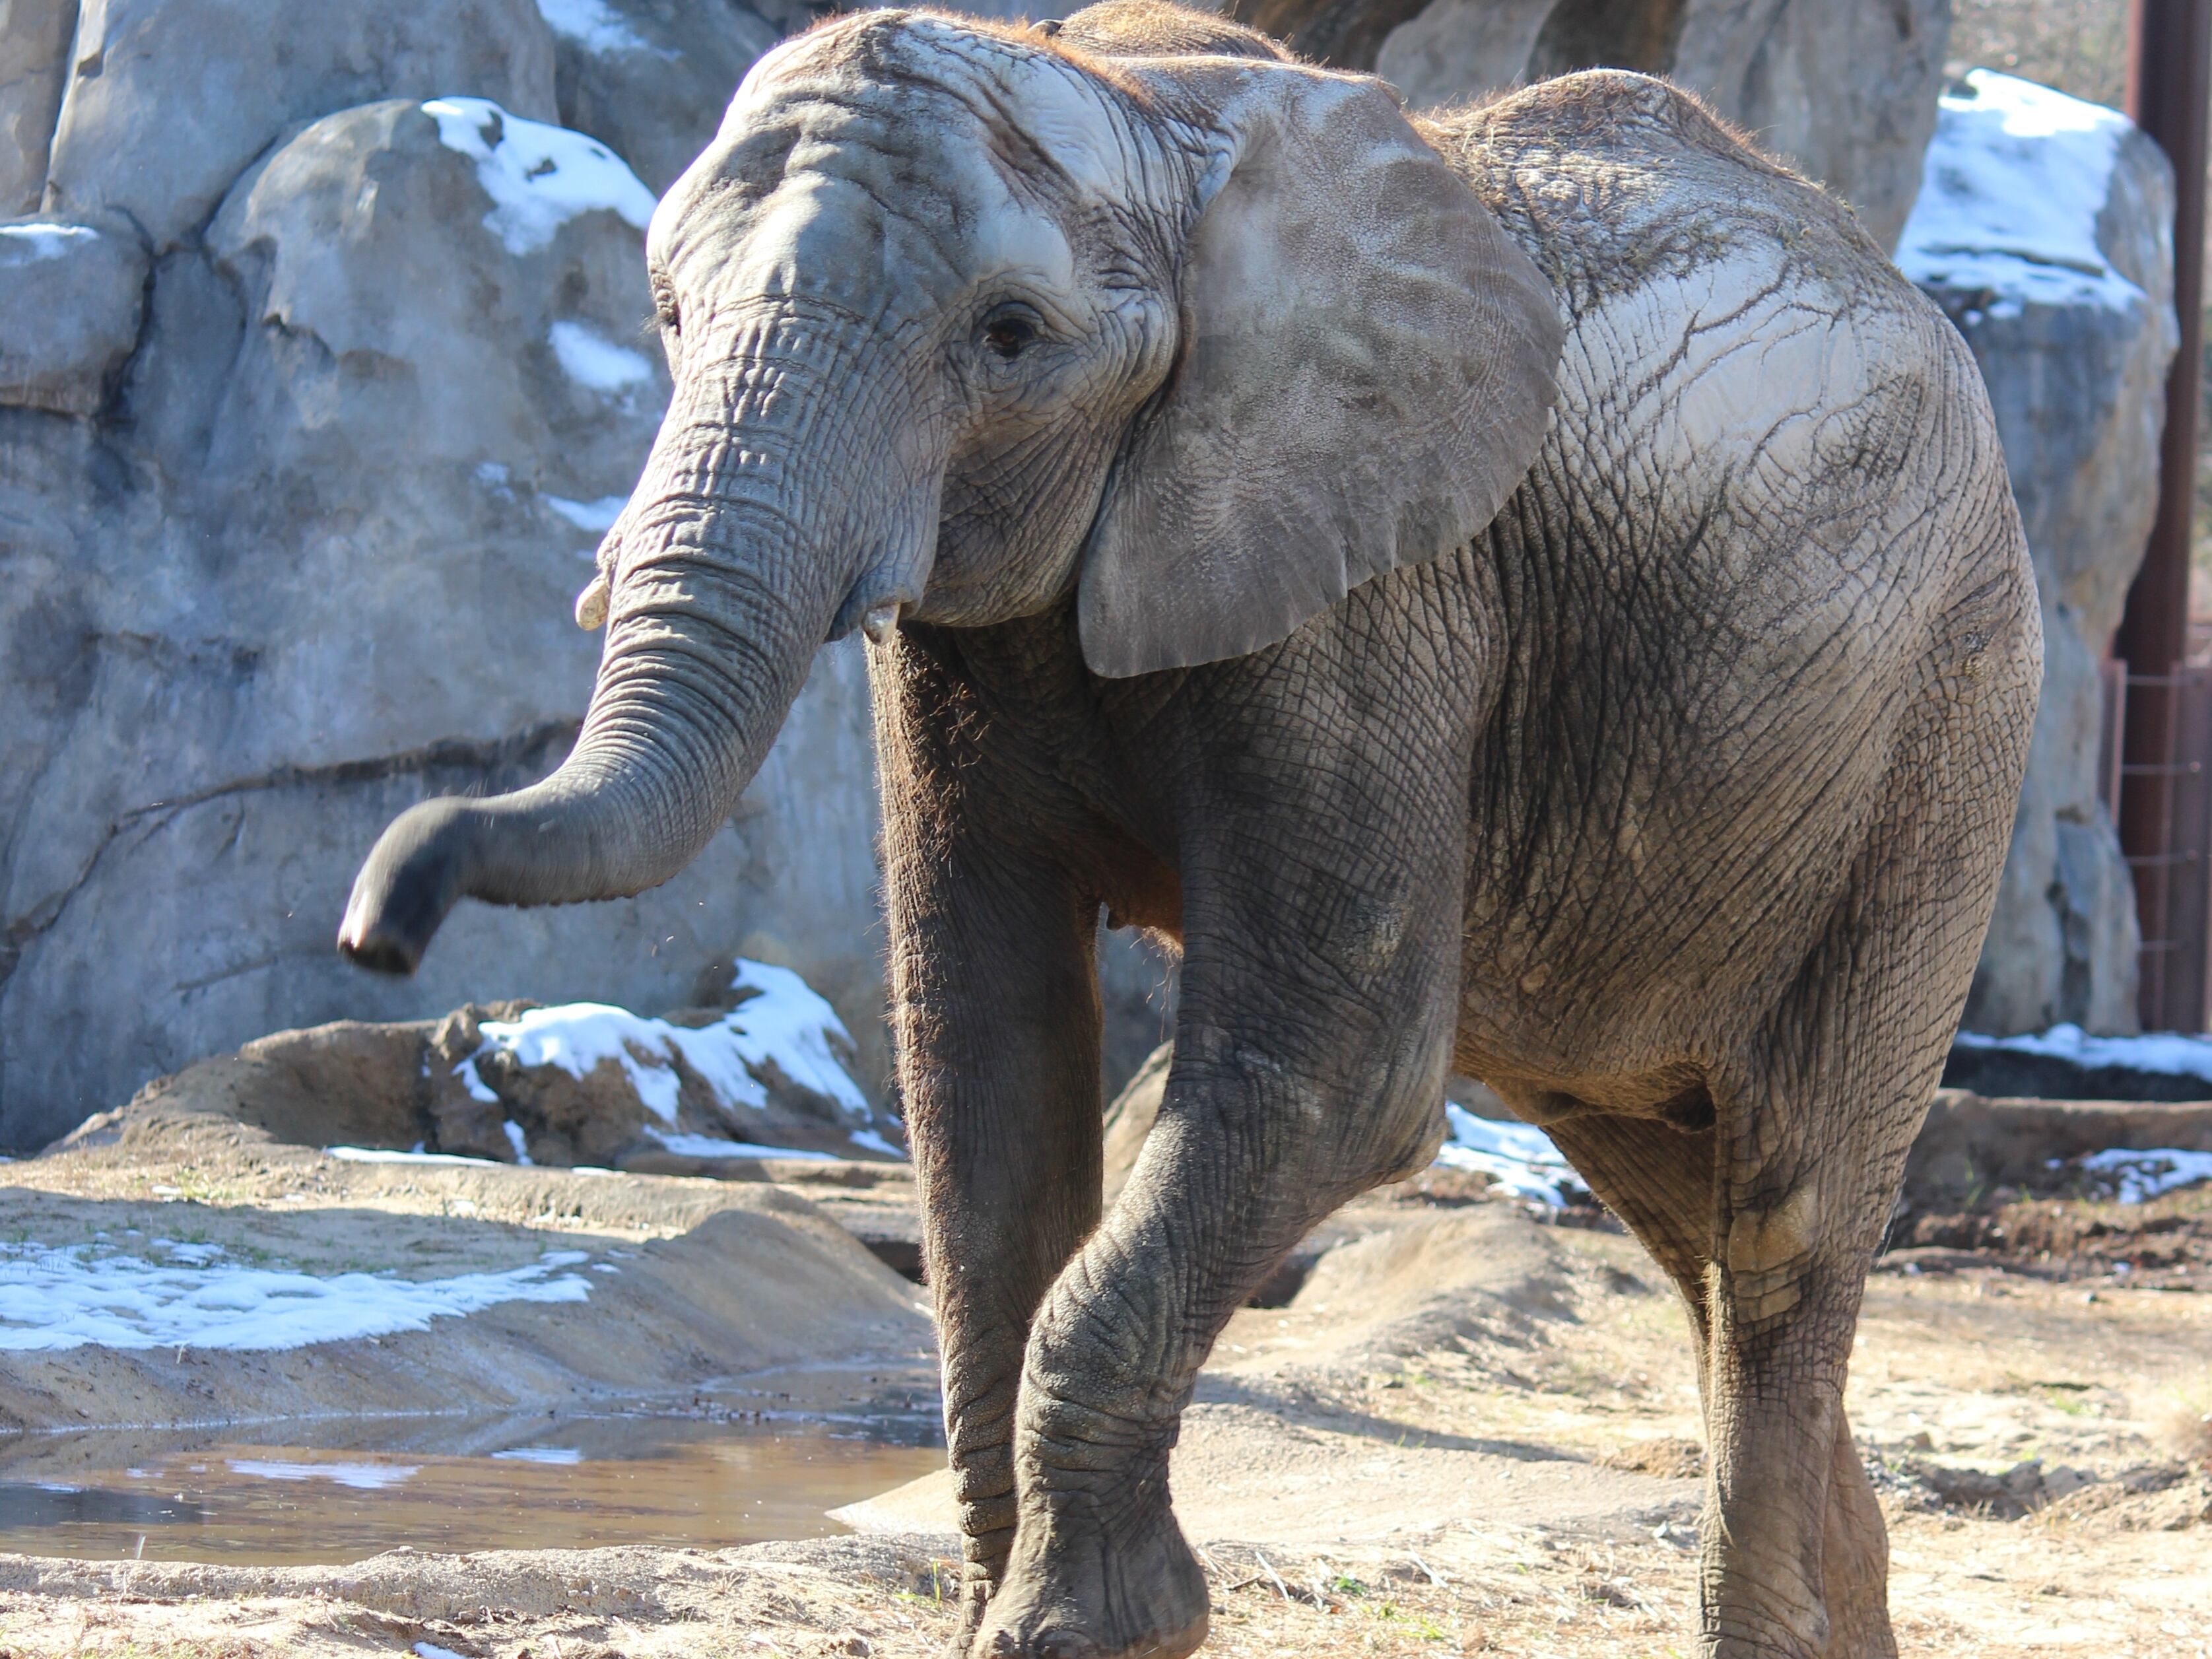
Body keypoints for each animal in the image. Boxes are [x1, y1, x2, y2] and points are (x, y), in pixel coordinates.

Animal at [338, 3, 2041, 1654]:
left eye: (1006, 336)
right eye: (670, 315)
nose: (376, 932)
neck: (1132, 104)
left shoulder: (1383, 585)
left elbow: (1336, 1074)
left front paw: (1085, 1629)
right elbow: (985, 1060)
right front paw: (1013, 1613)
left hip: (1940, 731)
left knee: (1783, 1209)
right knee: (1684, 1215)